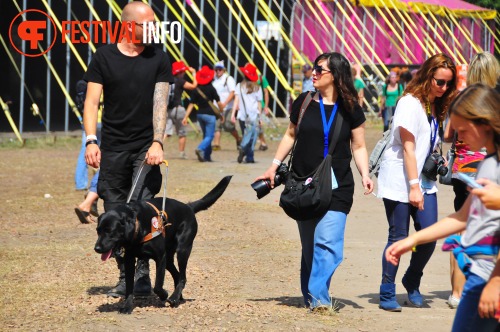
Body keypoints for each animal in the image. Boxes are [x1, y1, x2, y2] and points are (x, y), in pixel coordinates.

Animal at [94, 175, 231, 312]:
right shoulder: (130, 260)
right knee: (177, 275)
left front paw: (164, 294)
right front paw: (127, 307)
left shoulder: (160, 258)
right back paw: (178, 297)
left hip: (182, 251)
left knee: (183, 277)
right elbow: (129, 287)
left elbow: (157, 285)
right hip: (169, 258)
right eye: (98, 230)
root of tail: (188, 207)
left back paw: (173, 298)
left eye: (110, 231)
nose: (97, 248)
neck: (138, 223)